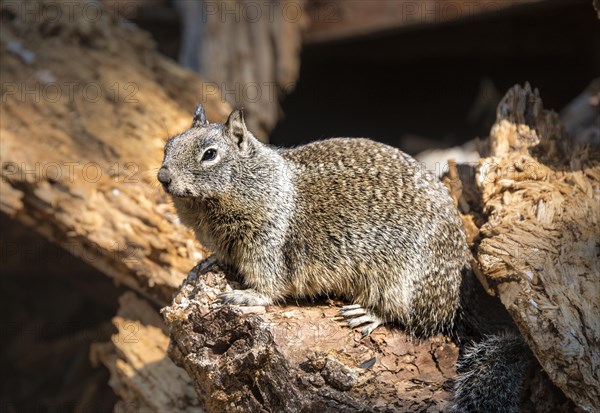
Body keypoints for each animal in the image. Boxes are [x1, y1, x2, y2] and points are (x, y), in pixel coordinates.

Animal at [158, 104, 528, 410]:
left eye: (209, 154)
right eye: (168, 145)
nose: (162, 177)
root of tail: (456, 295)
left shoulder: (266, 243)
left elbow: (268, 284)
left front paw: (245, 296)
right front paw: (206, 264)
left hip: (399, 280)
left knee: (408, 315)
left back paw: (367, 313)